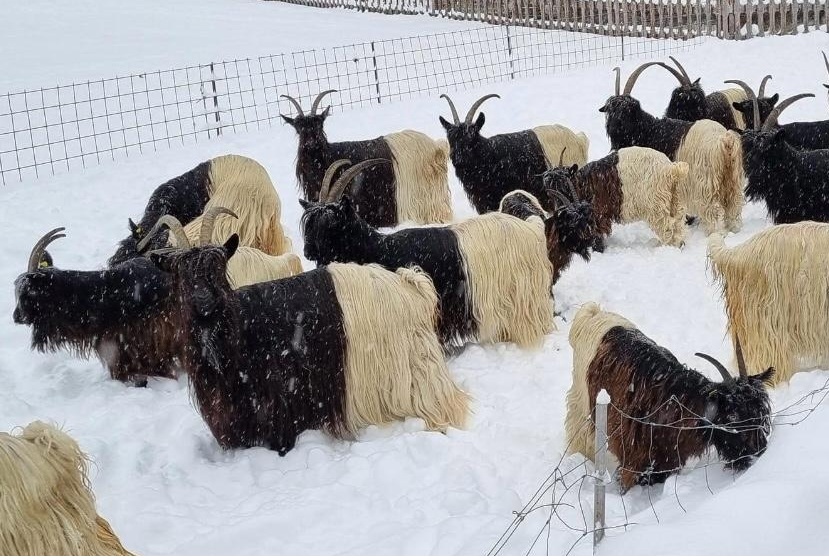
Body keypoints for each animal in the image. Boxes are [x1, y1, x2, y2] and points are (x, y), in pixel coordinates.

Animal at [541, 146, 689, 250]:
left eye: (565, 185)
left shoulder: (597, 214)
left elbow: (596, 232)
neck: (583, 184)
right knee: (678, 225)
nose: (559, 207)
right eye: (548, 190)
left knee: (667, 227)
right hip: (676, 201)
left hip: (656, 207)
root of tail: (671, 169)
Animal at [565, 302, 774, 492]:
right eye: (733, 419)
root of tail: (594, 313)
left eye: (762, 415)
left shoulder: (666, 459)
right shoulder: (633, 456)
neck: (674, 400)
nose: (758, 453)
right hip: (581, 399)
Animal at [600, 63, 744, 235]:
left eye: (627, 109)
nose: (614, 128)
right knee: (734, 209)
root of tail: (725, 140)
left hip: (706, 185)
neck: (648, 131)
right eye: (610, 110)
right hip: (733, 180)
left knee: (712, 213)